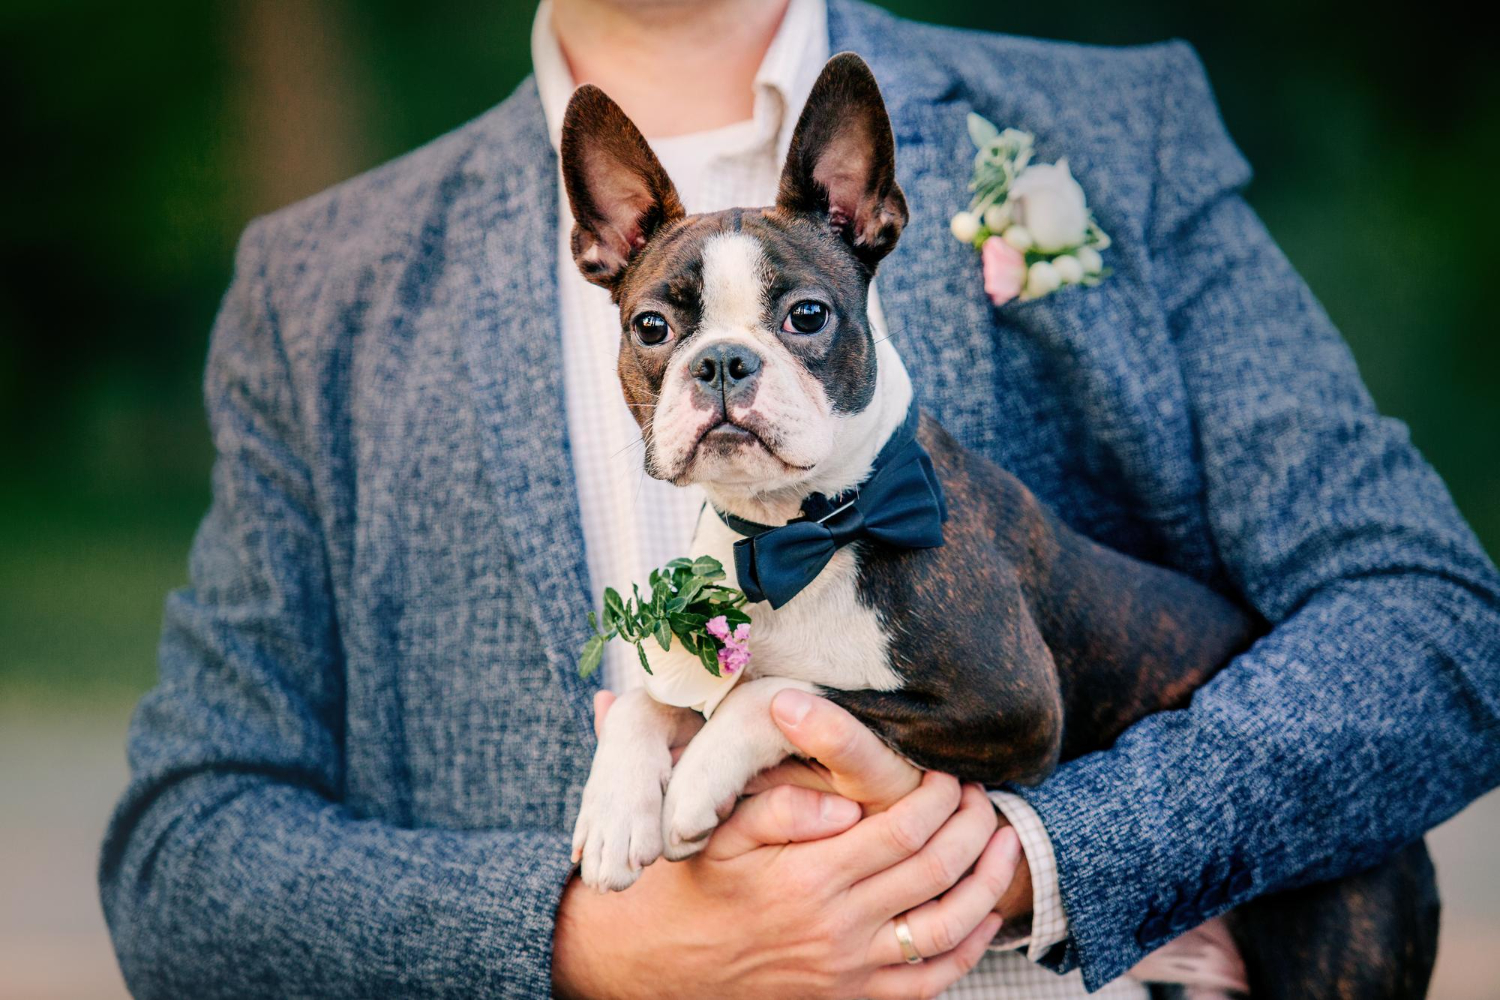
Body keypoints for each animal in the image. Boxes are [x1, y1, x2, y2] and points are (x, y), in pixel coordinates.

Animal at [561, 54, 1440, 1000]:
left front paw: (693, 784)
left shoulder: (1010, 708)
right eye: (652, 327)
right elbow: (653, 701)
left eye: (807, 316)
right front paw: (615, 813)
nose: (723, 362)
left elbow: (783, 691)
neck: (800, 534)